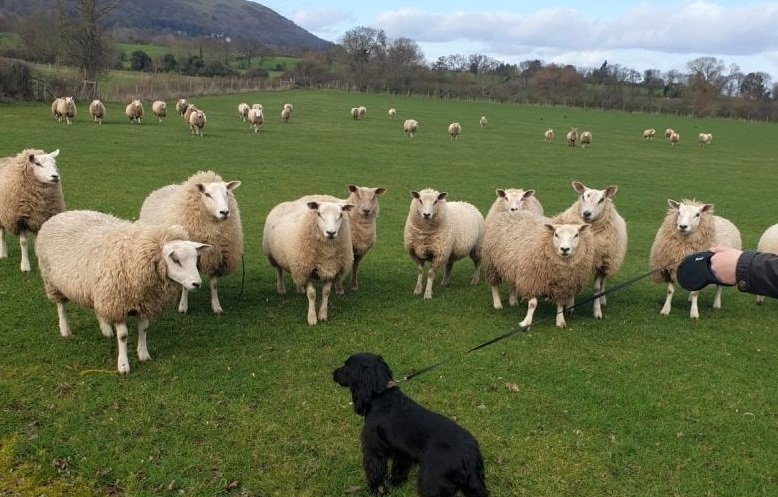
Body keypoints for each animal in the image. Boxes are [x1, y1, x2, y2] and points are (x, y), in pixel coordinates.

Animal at [35, 209, 209, 372]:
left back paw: (105, 329)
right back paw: (65, 329)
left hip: (96, 287)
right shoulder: (117, 303)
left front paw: (143, 354)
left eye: (195, 259)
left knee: (97, 308)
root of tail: (61, 214)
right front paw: (123, 365)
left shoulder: (142, 302)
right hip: (52, 281)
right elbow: (123, 336)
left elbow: (144, 328)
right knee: (60, 306)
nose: (197, 283)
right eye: (176, 260)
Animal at [139, 169, 242, 312]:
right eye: (207, 194)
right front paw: (183, 306)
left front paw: (216, 306)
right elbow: (185, 283)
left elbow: (214, 284)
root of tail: (166, 186)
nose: (224, 212)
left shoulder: (217, 257)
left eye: (226, 193)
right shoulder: (184, 253)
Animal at [264, 198, 354, 326]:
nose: (331, 233)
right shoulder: (306, 270)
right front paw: (312, 318)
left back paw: (300, 289)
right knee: (279, 270)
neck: (327, 252)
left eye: (341, 214)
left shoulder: (330, 269)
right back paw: (281, 289)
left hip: (296, 262)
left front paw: (322, 315)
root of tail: (283, 203)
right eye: (319, 214)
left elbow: (326, 292)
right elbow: (311, 294)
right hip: (276, 256)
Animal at [330, 352, 488, 496]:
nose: (333, 373)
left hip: (432, 482)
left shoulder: (374, 449)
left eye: (346, 366)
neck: (381, 394)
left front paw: (377, 490)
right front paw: (395, 483)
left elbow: (375, 472)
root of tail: (469, 455)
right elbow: (399, 470)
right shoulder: (401, 453)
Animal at [548, 181, 628, 318]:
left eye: (601, 199)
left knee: (602, 284)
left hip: (609, 262)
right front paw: (569, 307)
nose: (586, 213)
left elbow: (597, 288)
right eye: (583, 197)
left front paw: (597, 311)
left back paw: (602, 300)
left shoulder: (601, 263)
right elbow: (572, 284)